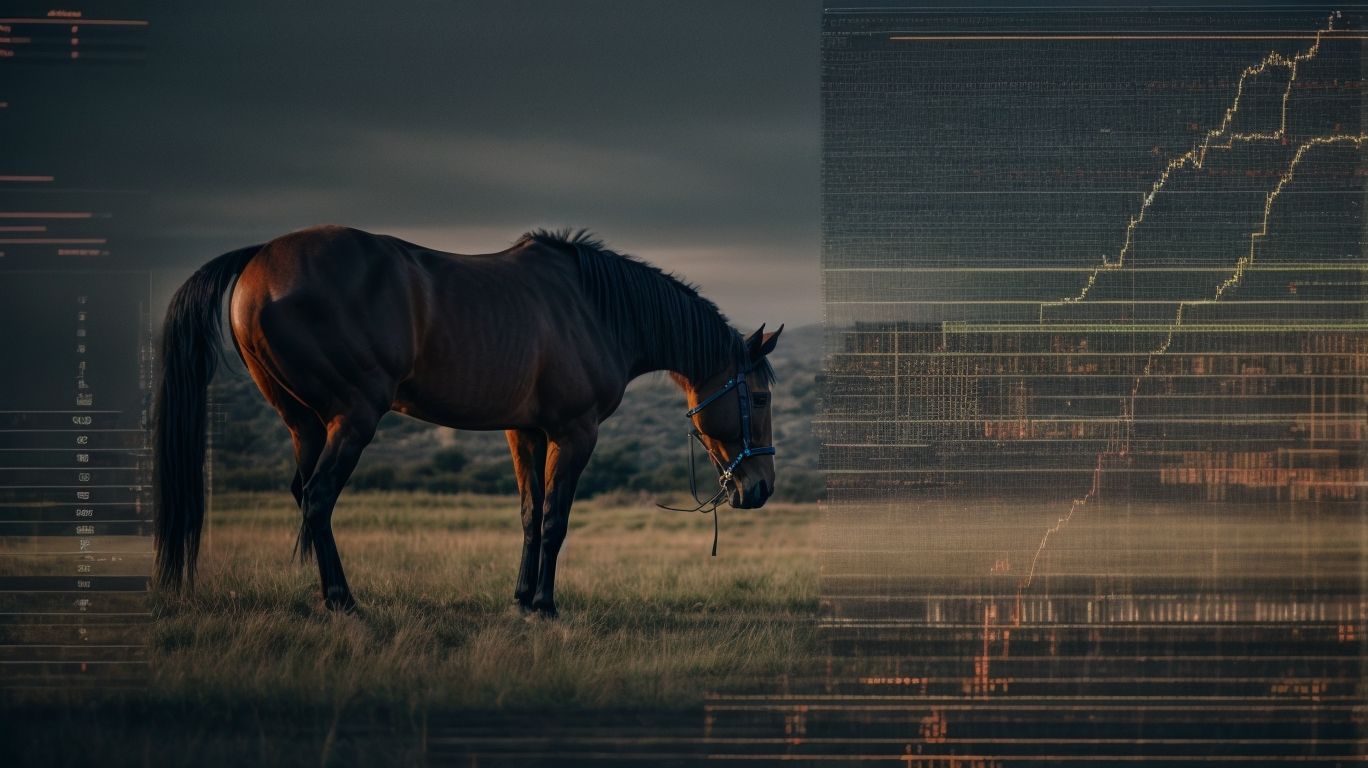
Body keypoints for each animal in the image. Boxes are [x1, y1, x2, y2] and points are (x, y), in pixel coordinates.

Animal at [153, 225, 782, 616]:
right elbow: (555, 520)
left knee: (304, 496)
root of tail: (260, 257)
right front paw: (547, 606)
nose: (761, 488)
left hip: (303, 424)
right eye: (759, 398)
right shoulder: (574, 433)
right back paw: (342, 600)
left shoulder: (523, 431)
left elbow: (529, 516)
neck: (593, 309)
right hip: (351, 419)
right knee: (319, 498)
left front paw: (522, 600)